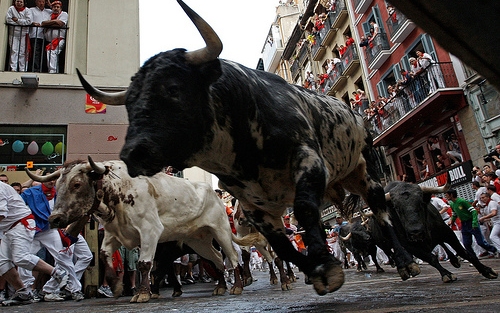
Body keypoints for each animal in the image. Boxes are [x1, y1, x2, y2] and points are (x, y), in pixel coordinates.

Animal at [77, 0, 422, 294]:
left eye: (173, 88)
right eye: (130, 104)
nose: (131, 154)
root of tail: (357, 114)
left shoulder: (308, 160)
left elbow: (304, 209)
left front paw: (326, 266)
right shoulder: (253, 204)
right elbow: (281, 245)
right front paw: (315, 269)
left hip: (367, 170)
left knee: (381, 212)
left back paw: (407, 262)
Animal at [370, 180, 498, 280]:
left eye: (421, 203)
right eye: (396, 208)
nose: (415, 232)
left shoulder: (447, 232)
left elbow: (464, 252)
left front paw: (487, 271)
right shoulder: (408, 244)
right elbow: (431, 258)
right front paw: (446, 274)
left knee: (442, 244)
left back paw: (454, 259)